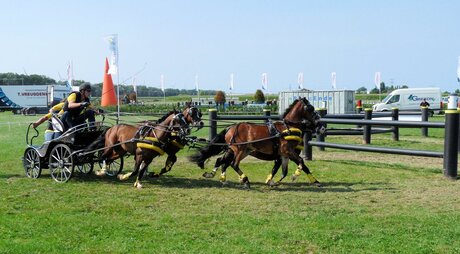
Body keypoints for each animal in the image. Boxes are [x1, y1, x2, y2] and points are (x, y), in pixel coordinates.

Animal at [189, 97, 322, 189]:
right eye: (311, 108)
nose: (319, 124)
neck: (287, 128)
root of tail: (231, 127)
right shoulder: (287, 151)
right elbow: (301, 162)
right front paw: (296, 176)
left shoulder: (284, 155)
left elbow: (284, 171)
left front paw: (273, 181)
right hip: (240, 150)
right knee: (233, 164)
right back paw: (245, 180)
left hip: (237, 150)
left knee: (222, 161)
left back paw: (219, 177)